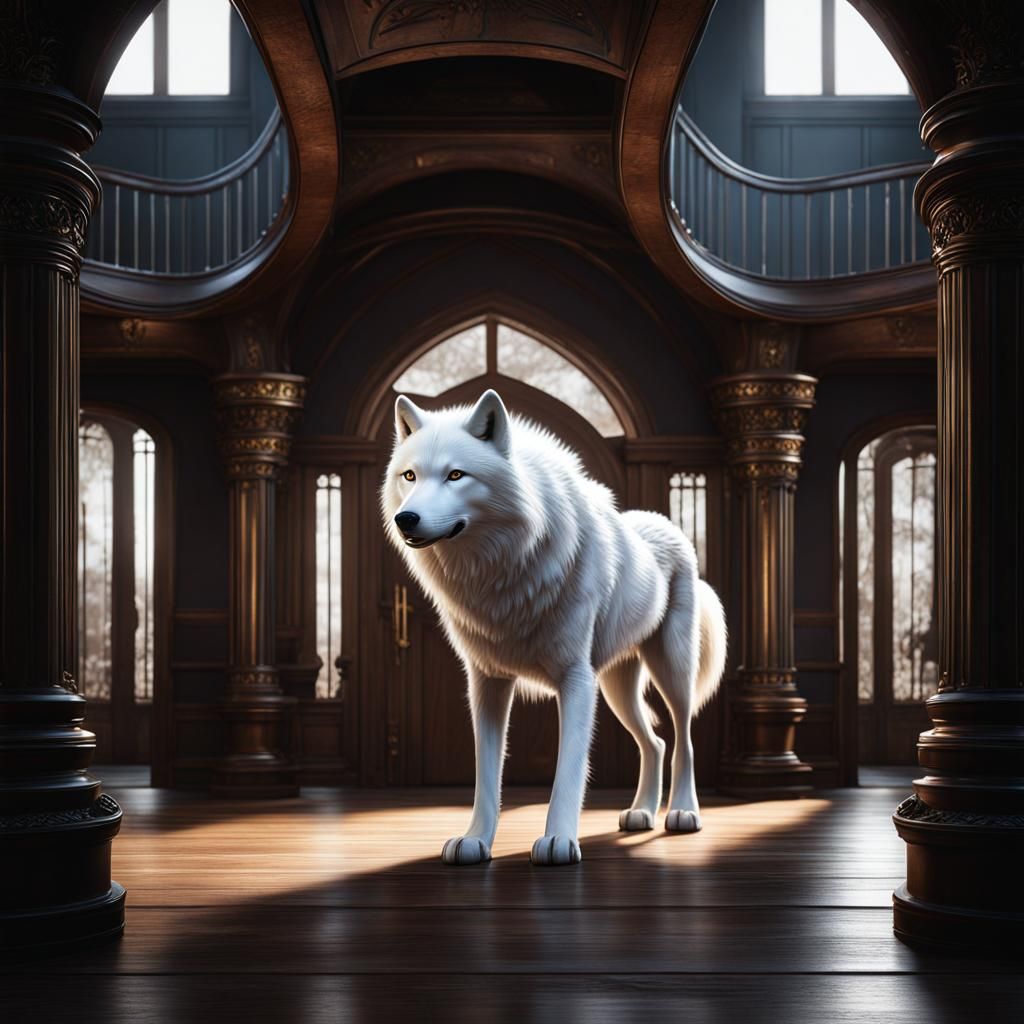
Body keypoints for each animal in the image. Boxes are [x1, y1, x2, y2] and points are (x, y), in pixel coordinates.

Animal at [381, 388, 727, 866]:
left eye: (455, 475)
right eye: (410, 475)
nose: (406, 518)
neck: (503, 570)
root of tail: (667, 525)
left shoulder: (576, 680)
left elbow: (568, 770)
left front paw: (558, 841)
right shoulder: (486, 682)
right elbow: (486, 772)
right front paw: (475, 840)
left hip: (670, 671)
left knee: (683, 737)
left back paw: (682, 813)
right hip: (617, 688)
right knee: (654, 742)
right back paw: (641, 812)